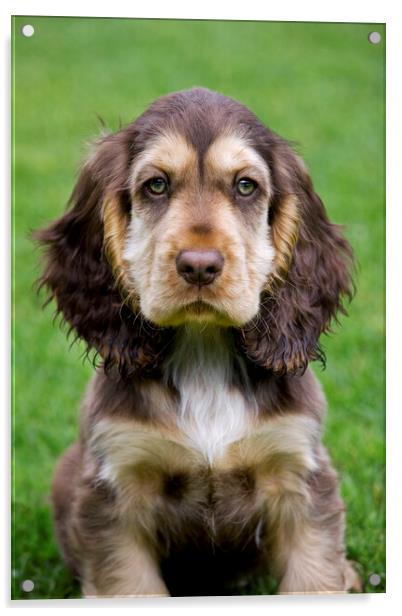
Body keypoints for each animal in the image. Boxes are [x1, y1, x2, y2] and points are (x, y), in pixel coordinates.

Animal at [37, 86, 362, 596]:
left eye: (246, 186)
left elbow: (314, 576)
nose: (199, 266)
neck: (203, 348)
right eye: (156, 185)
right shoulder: (115, 490)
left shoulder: (300, 474)